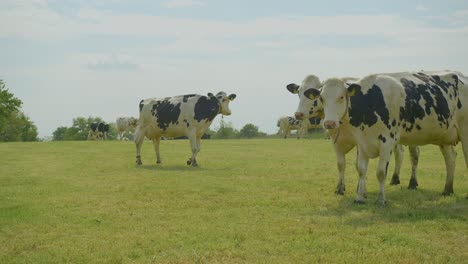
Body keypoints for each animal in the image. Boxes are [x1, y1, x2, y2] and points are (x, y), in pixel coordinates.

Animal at [294, 71, 466, 205]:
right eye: (321, 98)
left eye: (342, 97)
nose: (298, 114)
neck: (369, 102)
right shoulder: (357, 142)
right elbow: (355, 168)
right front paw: (356, 195)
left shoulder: (387, 142)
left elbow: (380, 172)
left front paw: (379, 199)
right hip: (444, 136)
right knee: (450, 158)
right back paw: (447, 189)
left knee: (416, 156)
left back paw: (411, 183)